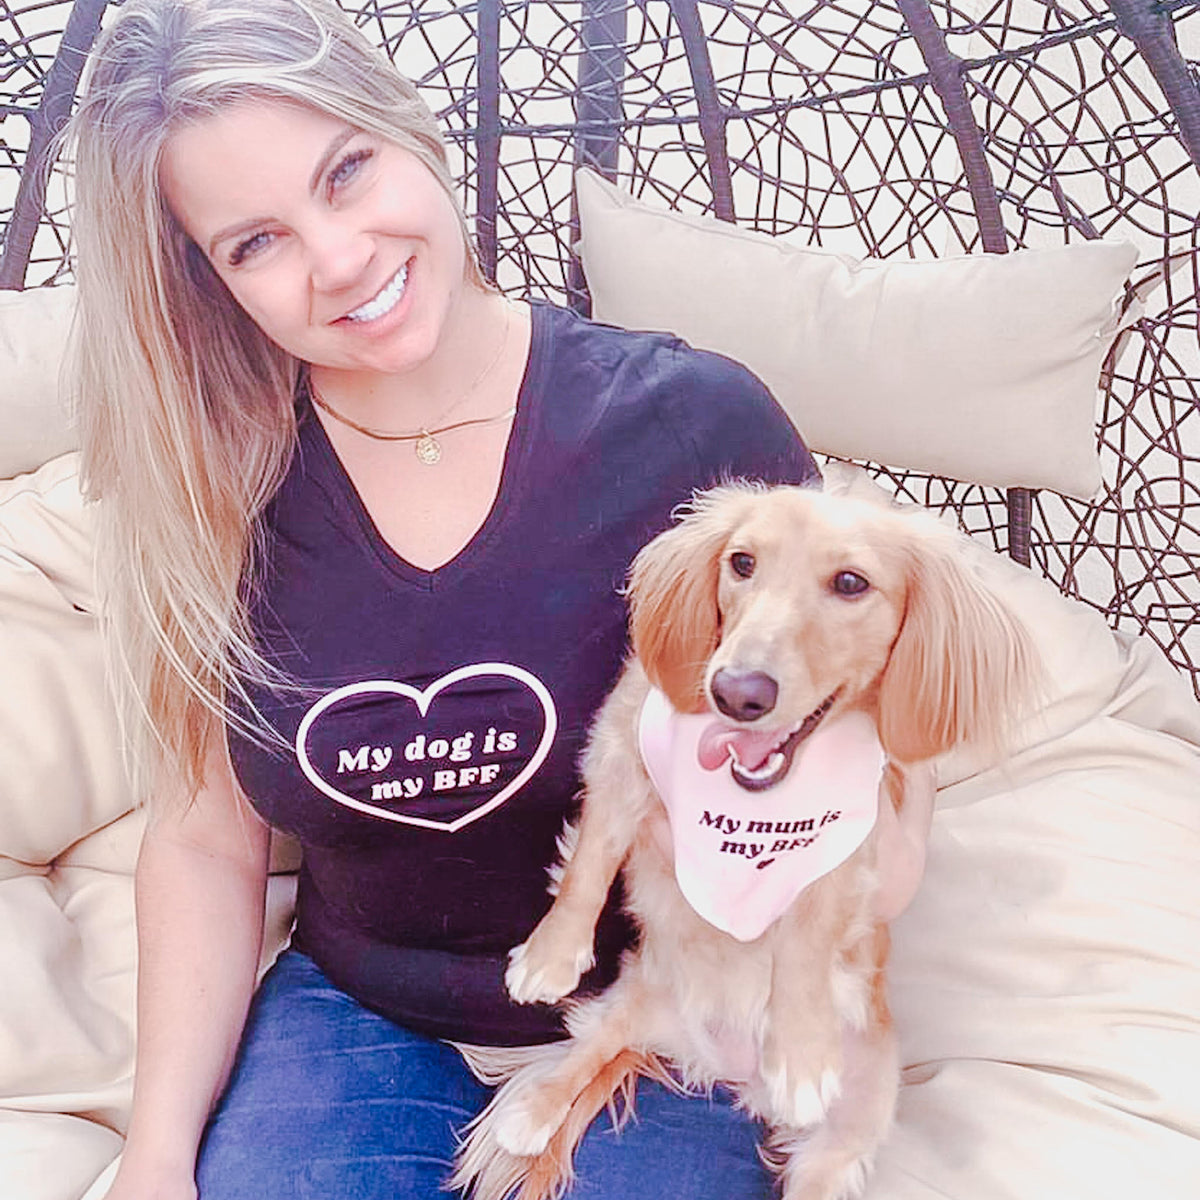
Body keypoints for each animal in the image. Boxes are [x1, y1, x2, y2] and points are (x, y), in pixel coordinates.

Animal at [453, 477, 1036, 1200]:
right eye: (742, 563)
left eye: (851, 583)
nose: (735, 693)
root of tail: (723, 1066)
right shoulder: (617, 753)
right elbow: (589, 863)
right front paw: (550, 956)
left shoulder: (849, 844)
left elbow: (808, 939)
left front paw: (801, 1052)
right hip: (635, 999)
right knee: (590, 1047)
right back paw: (531, 1114)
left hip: (848, 1133)